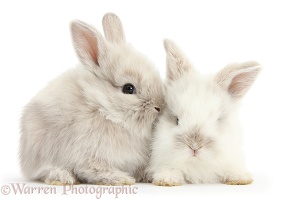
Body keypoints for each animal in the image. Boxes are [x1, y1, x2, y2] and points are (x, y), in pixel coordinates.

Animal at [18, 12, 163, 186]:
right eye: (128, 88)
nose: (159, 106)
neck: (104, 110)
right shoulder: (87, 156)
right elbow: (98, 170)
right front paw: (122, 179)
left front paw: (150, 175)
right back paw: (63, 176)